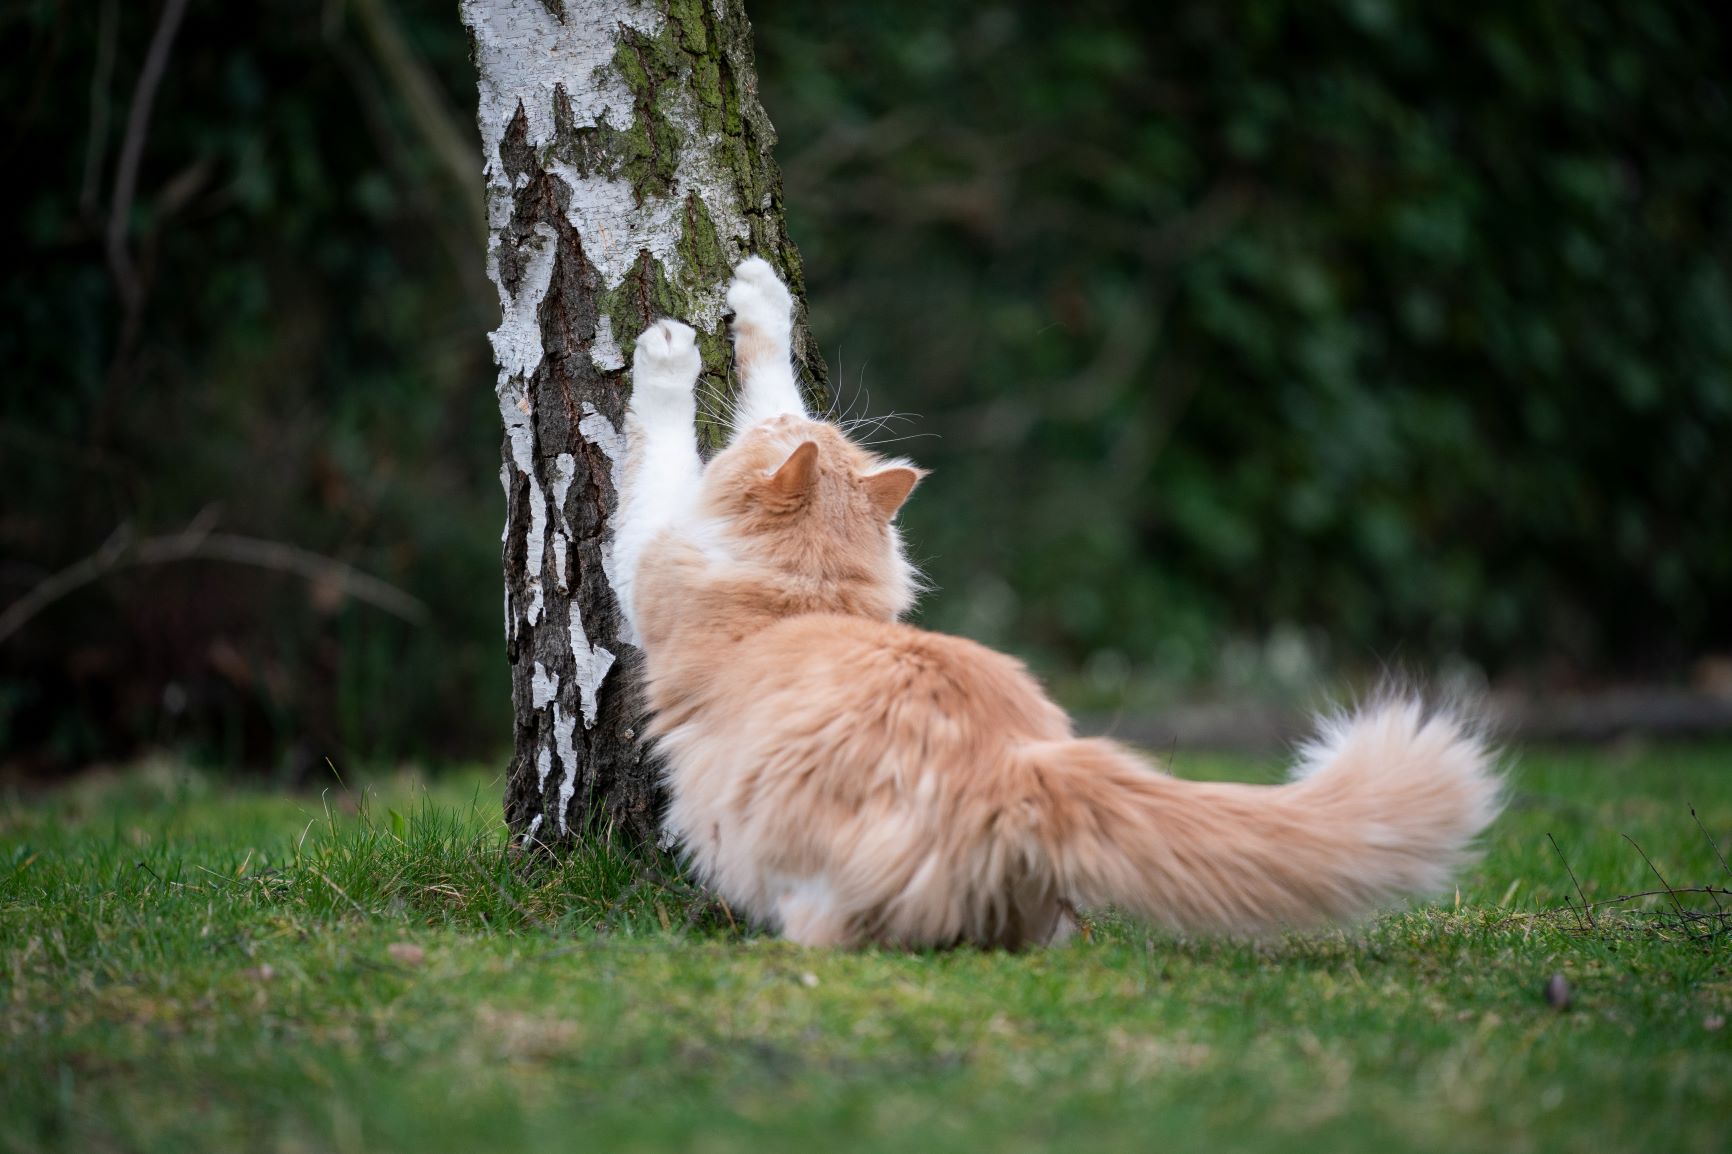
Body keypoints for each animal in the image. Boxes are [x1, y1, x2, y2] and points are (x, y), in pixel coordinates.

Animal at [613, 256, 1503, 949]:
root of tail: (1023, 766)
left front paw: (668, 356)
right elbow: (772, 379)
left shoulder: (649, 555)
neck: (809, 593)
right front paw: (761, 294)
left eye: (753, 448)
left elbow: (660, 451)